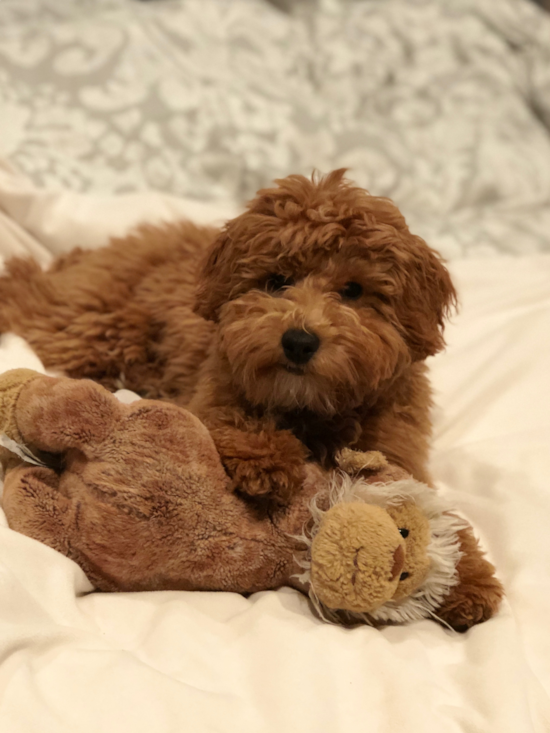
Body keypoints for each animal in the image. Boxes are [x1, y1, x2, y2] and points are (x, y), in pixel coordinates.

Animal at [0, 170, 458, 504]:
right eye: (276, 280)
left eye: (353, 290)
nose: (299, 342)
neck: (309, 407)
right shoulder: (211, 394)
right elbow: (230, 422)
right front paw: (266, 462)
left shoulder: (397, 449)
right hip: (96, 325)